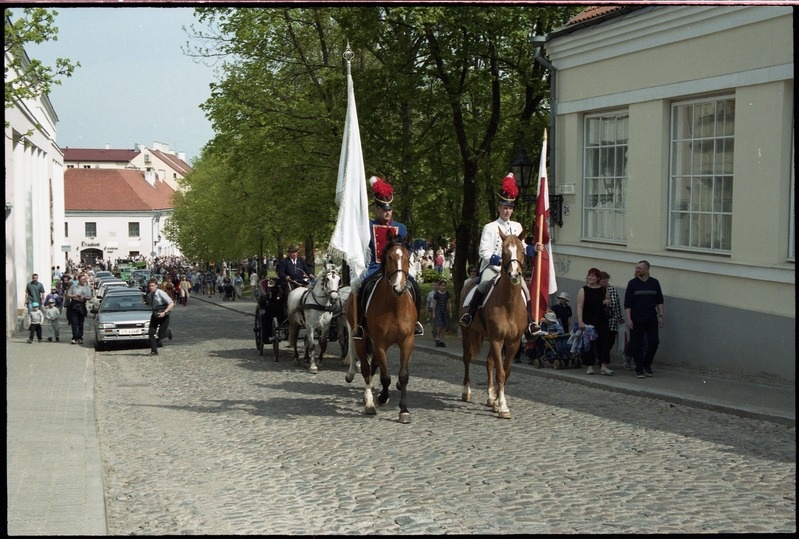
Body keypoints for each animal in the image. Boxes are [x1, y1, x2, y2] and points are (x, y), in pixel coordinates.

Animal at [346, 234, 418, 424]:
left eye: (407, 257)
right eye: (390, 257)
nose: (399, 287)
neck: (394, 306)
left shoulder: (407, 341)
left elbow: (403, 376)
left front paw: (404, 410)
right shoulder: (379, 343)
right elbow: (385, 377)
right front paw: (382, 397)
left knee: (373, 367)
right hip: (361, 338)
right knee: (365, 368)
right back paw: (370, 403)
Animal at [460, 230, 528, 420]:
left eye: (522, 250)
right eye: (504, 252)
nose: (514, 275)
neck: (509, 303)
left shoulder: (513, 342)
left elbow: (505, 371)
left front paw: (497, 402)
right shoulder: (497, 339)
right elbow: (501, 373)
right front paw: (503, 407)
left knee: (489, 363)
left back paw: (491, 398)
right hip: (468, 333)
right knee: (467, 359)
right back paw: (466, 392)